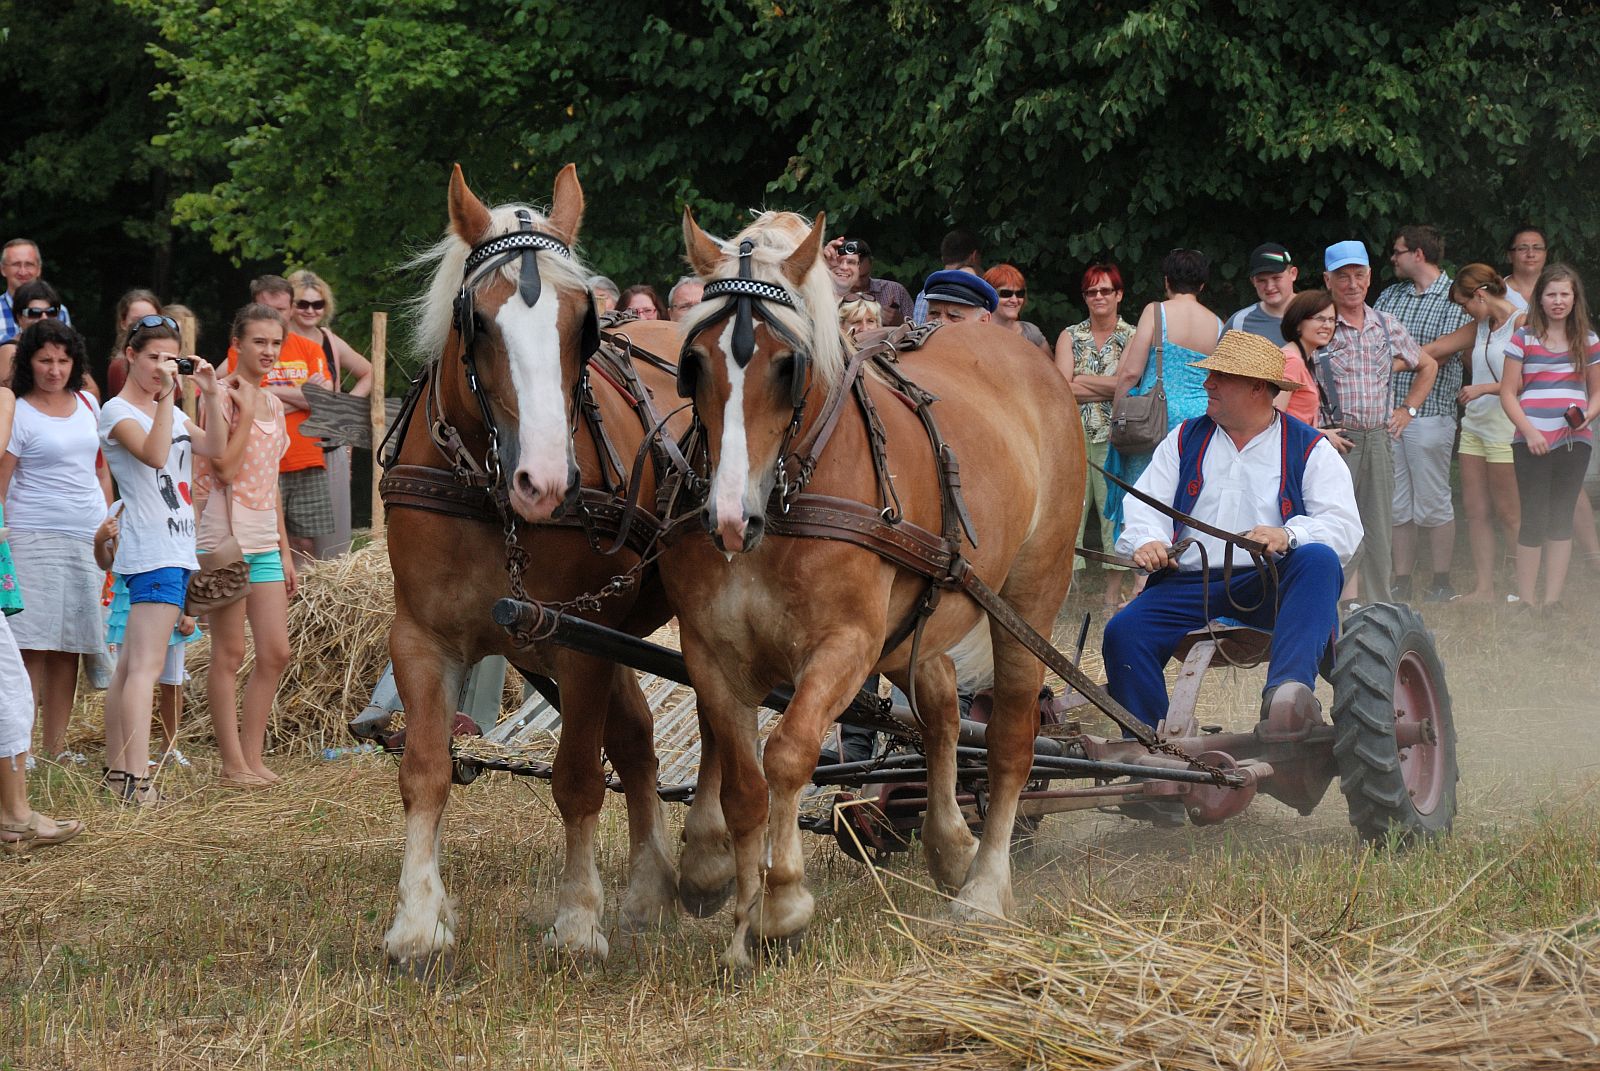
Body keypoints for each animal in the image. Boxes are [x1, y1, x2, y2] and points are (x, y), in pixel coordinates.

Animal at [387, 163, 688, 966]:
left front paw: (579, 920)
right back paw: (652, 885)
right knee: (638, 743)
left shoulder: (579, 647)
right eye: (478, 322)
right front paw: (418, 920)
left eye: (584, 321)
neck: (492, 503)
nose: (546, 482)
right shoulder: (422, 637)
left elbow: (577, 778)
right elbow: (425, 771)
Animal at [662, 208, 1088, 966]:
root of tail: (1020, 352)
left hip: (1029, 595)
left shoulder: (846, 644)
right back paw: (950, 847)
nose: (730, 519)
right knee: (942, 710)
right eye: (694, 362)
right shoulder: (711, 651)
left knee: (1009, 737)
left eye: (787, 364)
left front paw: (783, 904)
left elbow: (789, 753)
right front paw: (741, 923)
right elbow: (744, 785)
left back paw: (984, 889)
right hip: (917, 616)